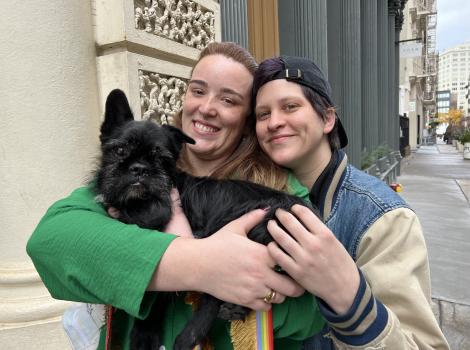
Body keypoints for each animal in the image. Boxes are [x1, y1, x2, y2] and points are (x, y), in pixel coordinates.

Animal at [94, 89, 318, 350]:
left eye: (161, 159)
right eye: (120, 151)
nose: (139, 168)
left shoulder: (162, 215)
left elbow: (156, 291)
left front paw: (144, 333)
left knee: (217, 291)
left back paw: (191, 334)